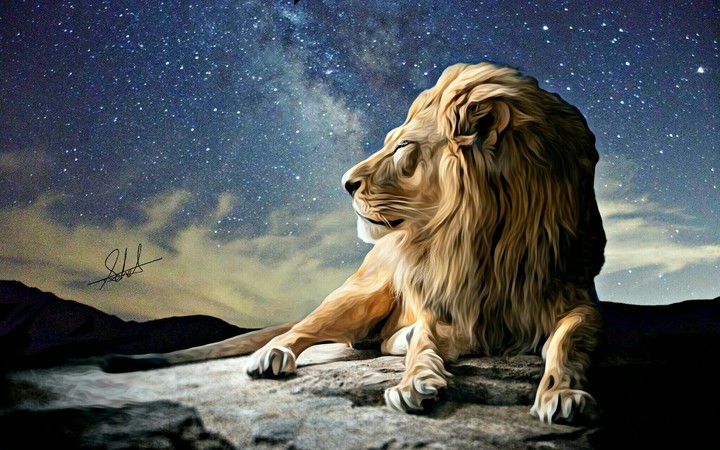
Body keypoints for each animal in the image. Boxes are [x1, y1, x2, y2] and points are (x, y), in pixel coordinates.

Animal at [105, 62, 606, 424]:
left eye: (403, 148)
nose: (345, 183)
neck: (486, 237)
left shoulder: (577, 299)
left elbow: (567, 340)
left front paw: (563, 394)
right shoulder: (442, 300)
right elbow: (425, 339)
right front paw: (414, 381)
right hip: (360, 294)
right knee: (307, 329)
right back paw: (274, 354)